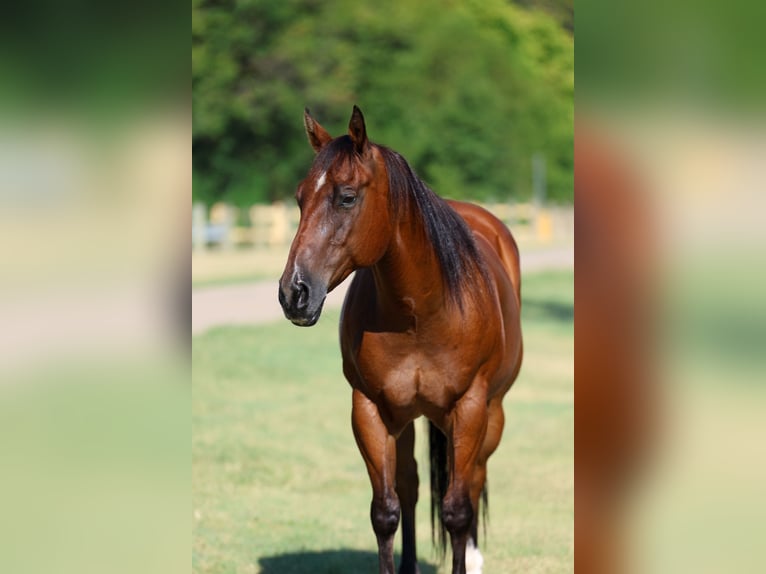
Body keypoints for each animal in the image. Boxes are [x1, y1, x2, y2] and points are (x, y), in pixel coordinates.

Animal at [278, 106, 523, 574]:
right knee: (410, 484)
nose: (293, 293)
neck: (419, 314)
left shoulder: (469, 408)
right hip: (407, 416)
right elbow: (386, 511)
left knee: (474, 478)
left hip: (492, 413)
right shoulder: (370, 409)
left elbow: (457, 510)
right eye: (299, 199)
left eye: (347, 197)